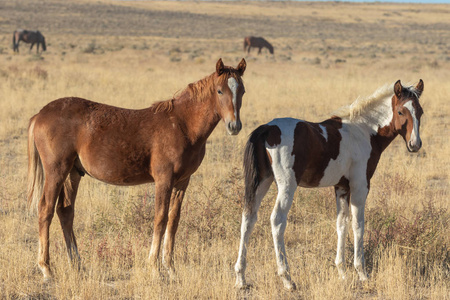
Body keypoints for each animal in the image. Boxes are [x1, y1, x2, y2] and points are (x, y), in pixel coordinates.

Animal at [28, 58, 246, 282]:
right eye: (219, 91)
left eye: (242, 91)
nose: (234, 126)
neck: (182, 125)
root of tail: (40, 115)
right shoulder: (164, 180)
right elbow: (160, 218)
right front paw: (154, 268)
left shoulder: (182, 181)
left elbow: (173, 221)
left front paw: (171, 268)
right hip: (56, 171)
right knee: (45, 209)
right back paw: (46, 268)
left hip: (73, 174)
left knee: (65, 212)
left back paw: (78, 265)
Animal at [236, 79, 426, 290]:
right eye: (401, 111)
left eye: (420, 112)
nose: (415, 144)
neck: (364, 131)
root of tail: (267, 129)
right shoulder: (360, 186)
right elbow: (358, 225)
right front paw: (362, 273)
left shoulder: (341, 187)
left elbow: (341, 224)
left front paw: (342, 272)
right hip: (286, 187)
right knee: (277, 220)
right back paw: (286, 278)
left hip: (262, 182)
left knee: (248, 218)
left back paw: (241, 277)